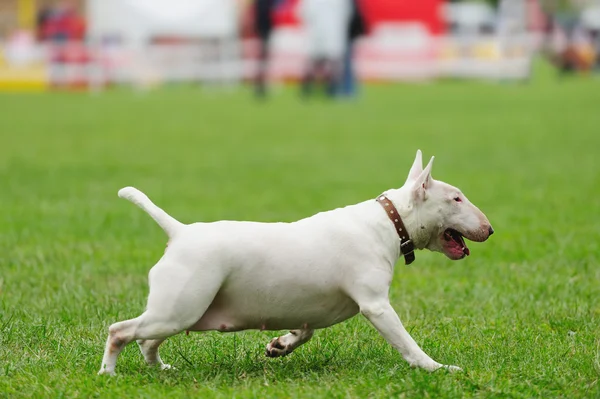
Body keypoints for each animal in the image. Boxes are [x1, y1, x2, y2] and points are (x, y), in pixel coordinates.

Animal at [99, 152, 492, 376]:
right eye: (456, 198)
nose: (489, 229)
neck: (388, 221)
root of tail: (179, 232)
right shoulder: (376, 306)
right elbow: (408, 344)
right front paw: (438, 368)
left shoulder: (311, 306)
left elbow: (306, 330)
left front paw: (280, 345)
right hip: (180, 308)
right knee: (120, 331)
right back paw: (108, 374)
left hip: (181, 312)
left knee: (147, 342)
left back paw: (160, 369)